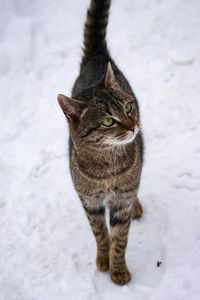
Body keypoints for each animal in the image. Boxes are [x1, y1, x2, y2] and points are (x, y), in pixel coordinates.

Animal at [57, 0, 144, 286]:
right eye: (107, 121)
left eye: (128, 107)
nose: (132, 125)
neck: (107, 165)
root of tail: (96, 57)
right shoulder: (90, 202)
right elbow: (100, 234)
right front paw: (103, 259)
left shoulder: (120, 202)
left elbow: (120, 239)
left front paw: (118, 270)